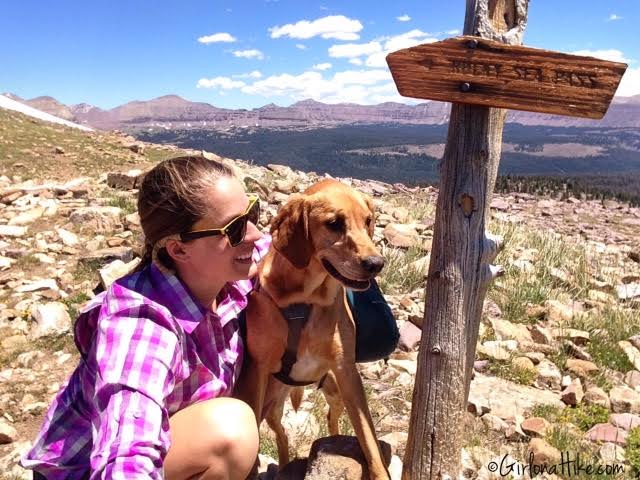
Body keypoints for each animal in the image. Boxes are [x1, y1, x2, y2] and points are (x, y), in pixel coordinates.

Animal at [236, 180, 390, 480]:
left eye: (368, 220)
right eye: (334, 223)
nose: (376, 264)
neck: (306, 299)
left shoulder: (347, 372)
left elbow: (368, 437)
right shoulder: (258, 371)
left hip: (336, 390)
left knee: (332, 421)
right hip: (272, 403)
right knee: (281, 434)